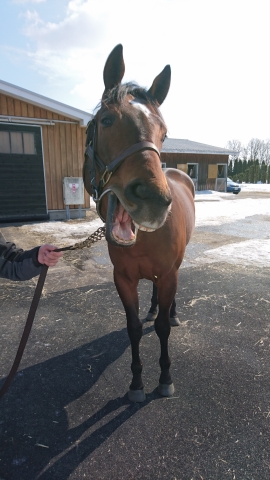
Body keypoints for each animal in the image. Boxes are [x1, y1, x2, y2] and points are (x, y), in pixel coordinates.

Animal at [83, 45, 195, 404]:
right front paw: (135, 384)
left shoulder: (170, 273)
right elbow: (133, 328)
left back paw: (171, 312)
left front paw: (165, 379)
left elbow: (161, 329)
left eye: (164, 133)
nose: (153, 200)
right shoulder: (123, 279)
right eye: (105, 121)